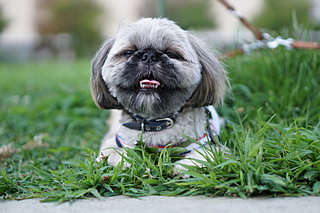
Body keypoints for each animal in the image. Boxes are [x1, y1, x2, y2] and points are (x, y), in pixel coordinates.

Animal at [91, 17, 229, 171]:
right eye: (128, 52)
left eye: (171, 54)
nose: (149, 56)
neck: (156, 123)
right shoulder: (117, 141)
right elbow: (112, 152)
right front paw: (124, 160)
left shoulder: (210, 145)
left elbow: (204, 155)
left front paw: (183, 167)